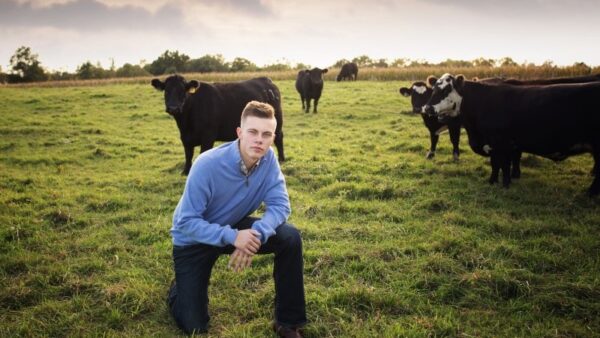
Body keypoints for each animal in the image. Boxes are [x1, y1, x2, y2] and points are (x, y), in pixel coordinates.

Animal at [422, 74, 600, 195]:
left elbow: (504, 165)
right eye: (434, 89)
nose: (427, 108)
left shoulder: (503, 143)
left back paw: (590, 193)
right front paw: (493, 181)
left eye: (446, 89)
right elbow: (496, 164)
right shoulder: (494, 145)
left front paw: (505, 184)